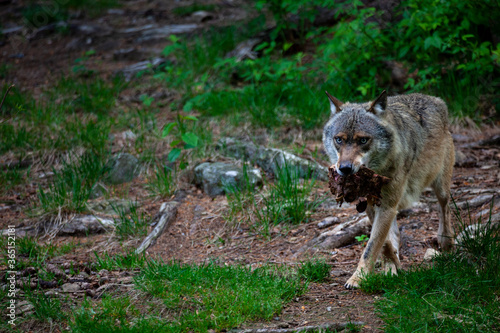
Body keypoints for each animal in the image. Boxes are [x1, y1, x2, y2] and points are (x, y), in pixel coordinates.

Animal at [322, 90, 456, 288]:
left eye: (363, 140)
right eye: (339, 139)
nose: (345, 168)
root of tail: (435, 99)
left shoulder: (387, 206)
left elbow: (372, 246)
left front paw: (358, 278)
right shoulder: (372, 206)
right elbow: (383, 242)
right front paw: (391, 265)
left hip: (441, 188)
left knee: (444, 208)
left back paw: (446, 242)